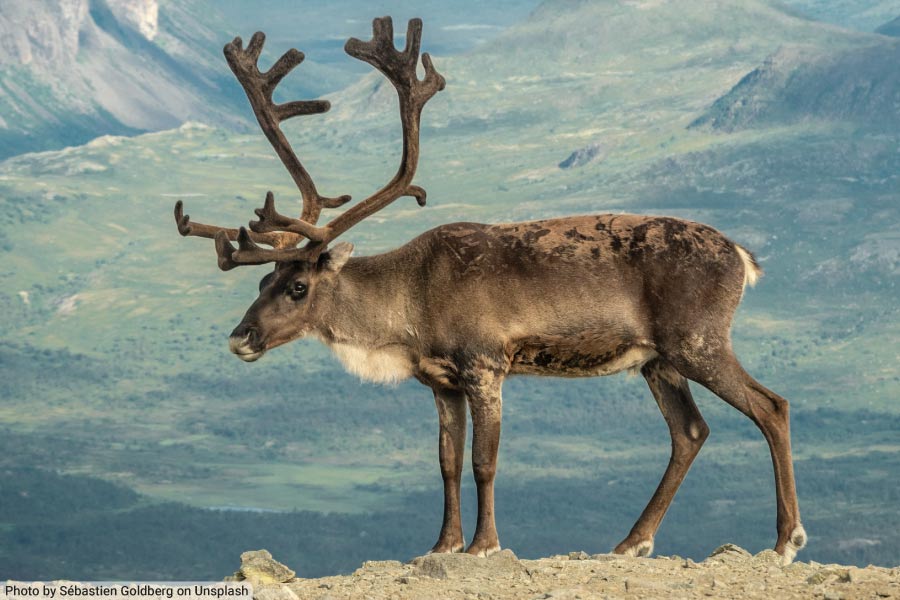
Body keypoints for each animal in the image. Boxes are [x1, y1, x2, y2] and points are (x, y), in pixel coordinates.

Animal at [173, 17, 807, 564]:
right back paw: (632, 541)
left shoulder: (485, 366)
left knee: (771, 405)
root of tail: (741, 256)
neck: (410, 303)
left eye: (299, 286)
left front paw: (484, 545)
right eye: (263, 279)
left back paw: (785, 541)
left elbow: (485, 462)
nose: (240, 337)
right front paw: (442, 544)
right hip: (657, 361)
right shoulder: (440, 382)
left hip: (697, 341)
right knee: (690, 431)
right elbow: (447, 463)